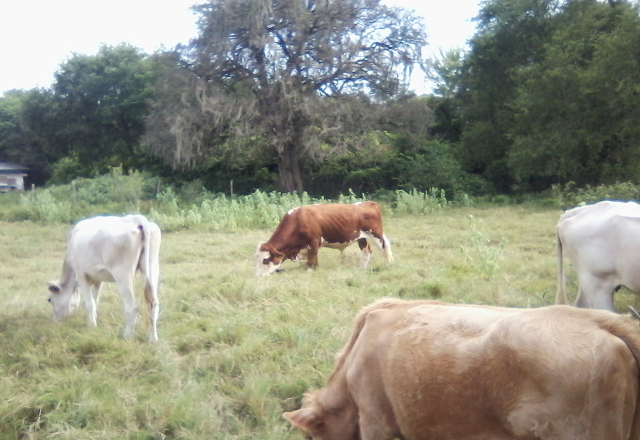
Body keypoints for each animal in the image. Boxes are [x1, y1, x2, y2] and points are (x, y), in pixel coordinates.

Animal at [256, 201, 393, 276]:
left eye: (265, 259)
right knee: (366, 252)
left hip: (376, 234)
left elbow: (311, 261)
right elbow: (315, 260)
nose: (259, 276)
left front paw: (310, 272)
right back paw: (361, 269)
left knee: (385, 247)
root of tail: (367, 203)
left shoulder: (313, 242)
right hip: (361, 238)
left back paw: (389, 265)